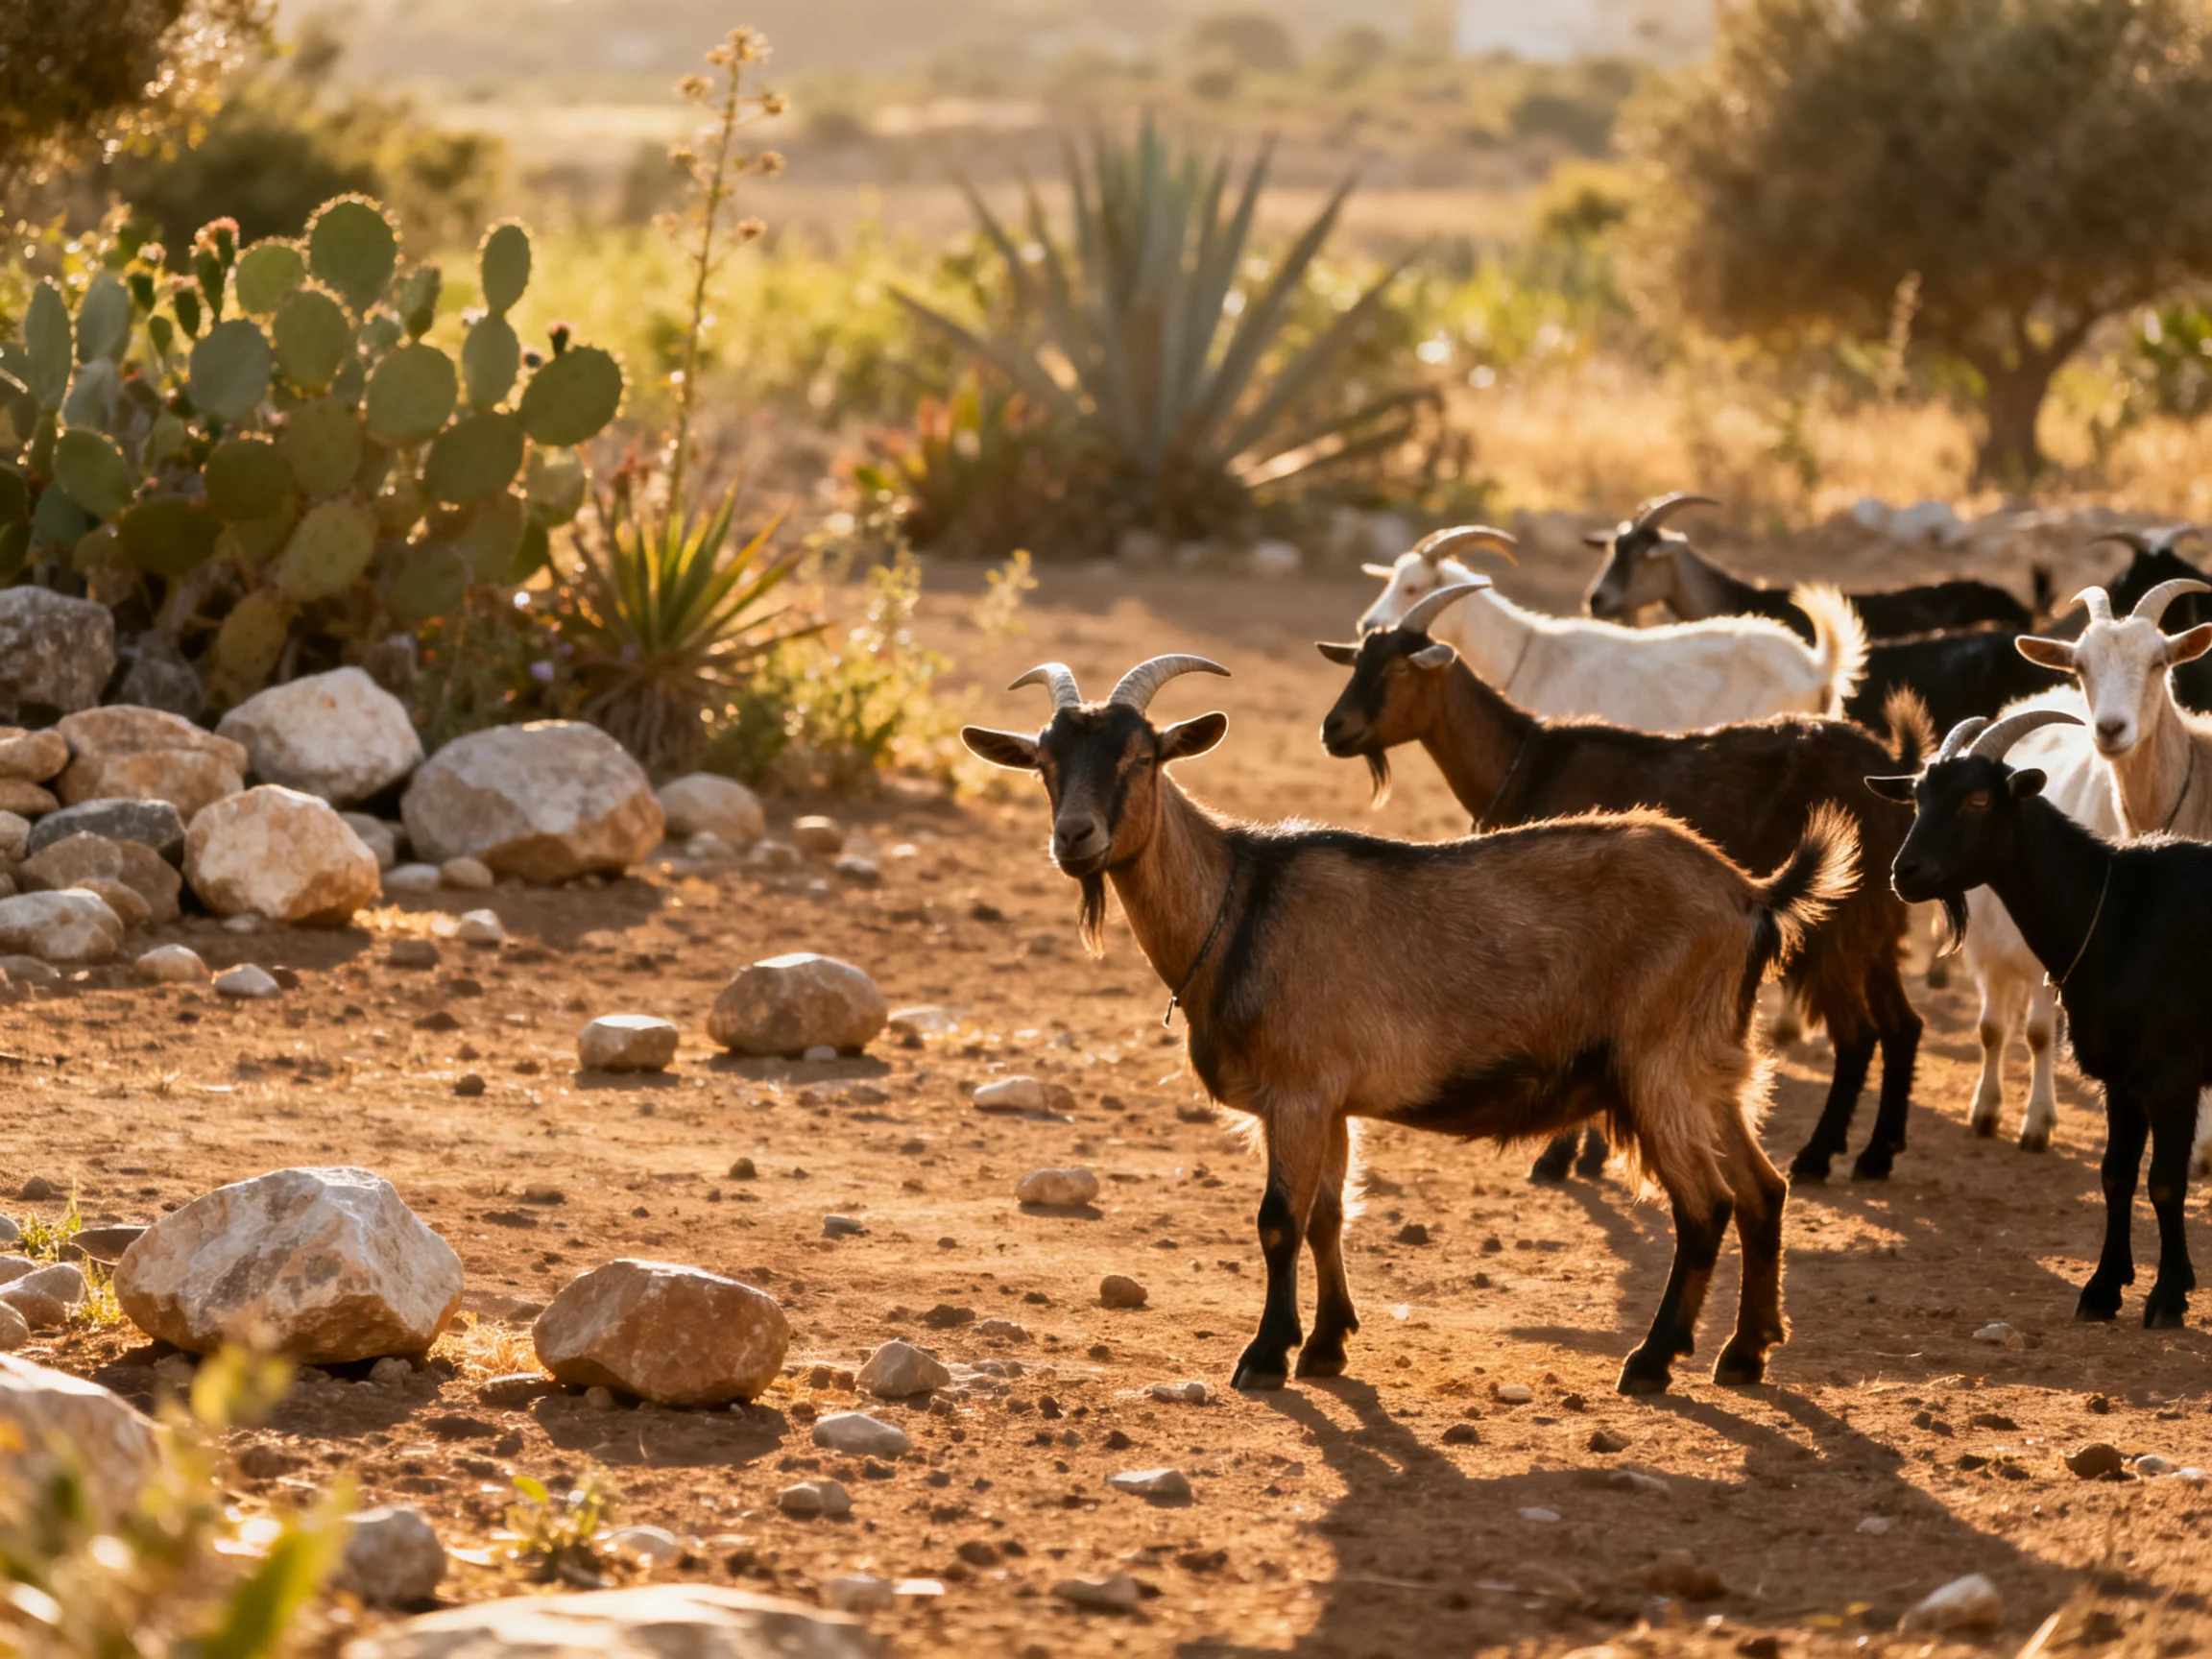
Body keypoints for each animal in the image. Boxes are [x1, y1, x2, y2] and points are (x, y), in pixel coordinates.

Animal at [963, 654, 1856, 1393]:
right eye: (1044, 763)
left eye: (1143, 757)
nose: (1074, 838)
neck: (1239, 902)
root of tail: (1753, 896)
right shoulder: (1329, 1104)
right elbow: (1328, 1216)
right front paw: (1327, 1346)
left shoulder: (1298, 1093)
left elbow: (1279, 1221)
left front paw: (1265, 1355)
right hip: (1712, 1067)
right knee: (1762, 1190)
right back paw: (1745, 1353)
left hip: (1658, 1064)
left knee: (1704, 1207)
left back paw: (1652, 1361)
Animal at [1320, 579, 1923, 1184]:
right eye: (1358, 661)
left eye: (1400, 668)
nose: (1334, 729)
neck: (1529, 761)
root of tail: (1892, 770)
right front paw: (1587, 1154)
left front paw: (1560, 1156)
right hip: (1877, 919)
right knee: (1901, 1024)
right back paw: (1878, 1152)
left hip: (1839, 926)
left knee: (1856, 1033)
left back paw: (1818, 1155)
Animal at [1873, 707, 2212, 1328]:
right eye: (1916, 797)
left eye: (1979, 799)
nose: (1904, 872)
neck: (2117, 914)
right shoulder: (2121, 1078)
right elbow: (2115, 1174)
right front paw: (2103, 1289)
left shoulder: (2172, 1073)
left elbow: (2165, 1183)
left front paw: (2167, 1296)